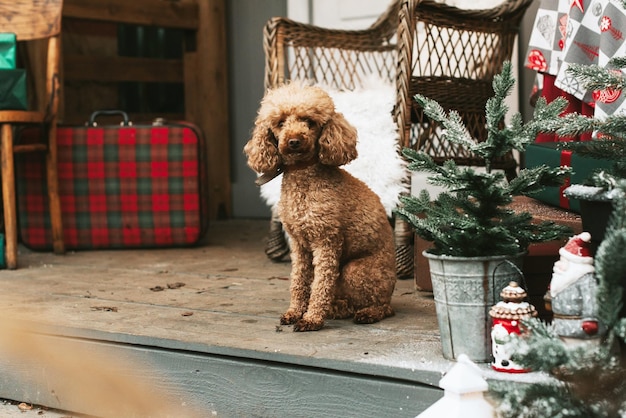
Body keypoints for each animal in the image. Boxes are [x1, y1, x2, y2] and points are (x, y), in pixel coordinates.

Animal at [244, 83, 394, 332]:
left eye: (309, 121)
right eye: (280, 122)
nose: (294, 140)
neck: (303, 176)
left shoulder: (327, 241)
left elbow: (320, 284)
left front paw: (312, 318)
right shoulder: (299, 245)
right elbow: (299, 280)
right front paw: (295, 312)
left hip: (356, 271)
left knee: (383, 306)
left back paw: (367, 313)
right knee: (349, 302)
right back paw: (337, 309)